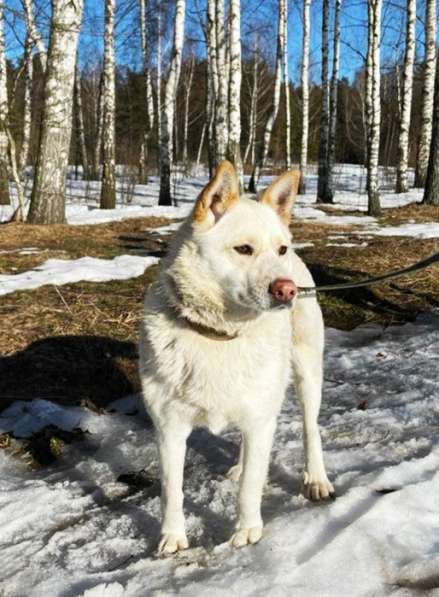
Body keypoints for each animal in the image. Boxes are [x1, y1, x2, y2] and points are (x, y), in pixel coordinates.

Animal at [139, 159, 336, 556]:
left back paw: (315, 478)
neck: (220, 334)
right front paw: (172, 536)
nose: (287, 291)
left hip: (307, 376)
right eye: (243, 249)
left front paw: (246, 530)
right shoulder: (168, 427)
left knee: (310, 430)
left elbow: (250, 489)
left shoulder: (261, 419)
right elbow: (171, 489)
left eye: (279, 249)